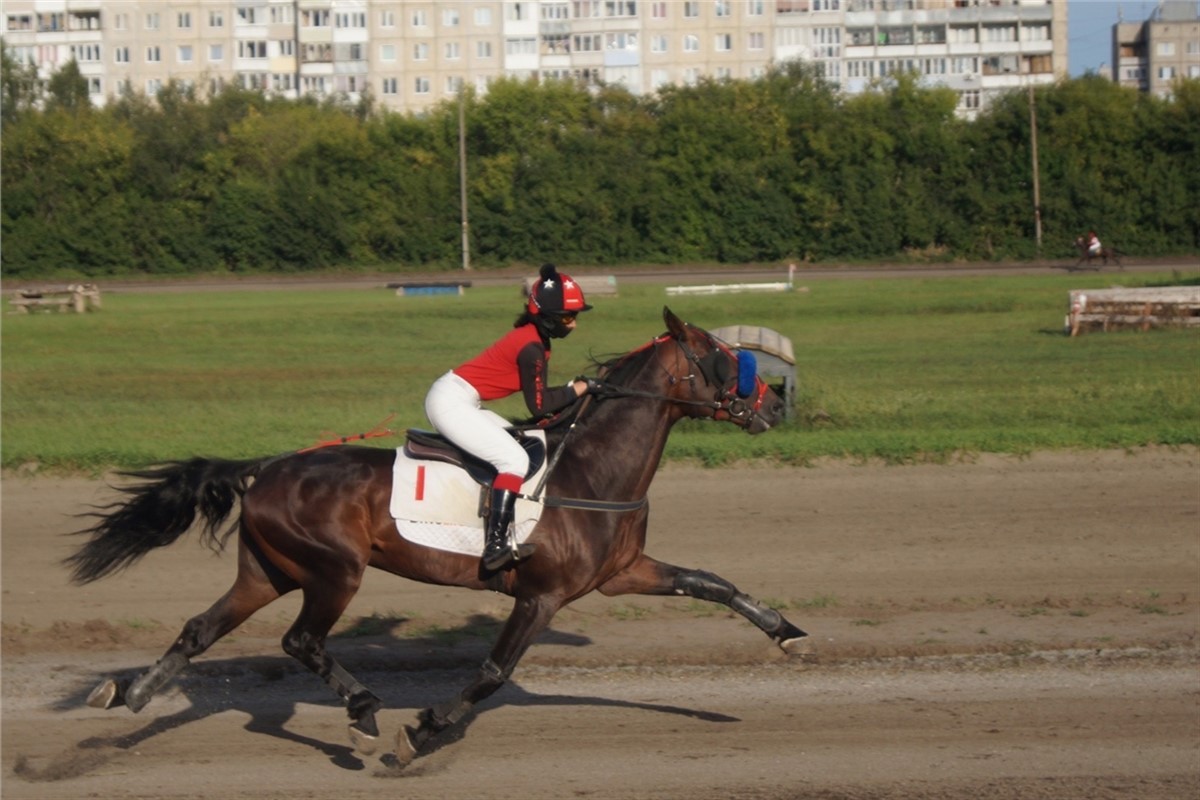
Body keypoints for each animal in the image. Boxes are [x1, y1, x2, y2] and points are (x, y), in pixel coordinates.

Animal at [70, 304, 811, 762]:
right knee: (301, 639)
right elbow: (492, 671)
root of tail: (267, 468)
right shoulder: (540, 595)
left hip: (268, 569)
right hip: (334, 570)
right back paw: (365, 708)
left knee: (201, 628)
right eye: (722, 357)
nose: (774, 404)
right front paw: (422, 731)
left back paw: (132, 693)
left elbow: (711, 582)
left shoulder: (620, 572)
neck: (593, 469)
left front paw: (787, 632)